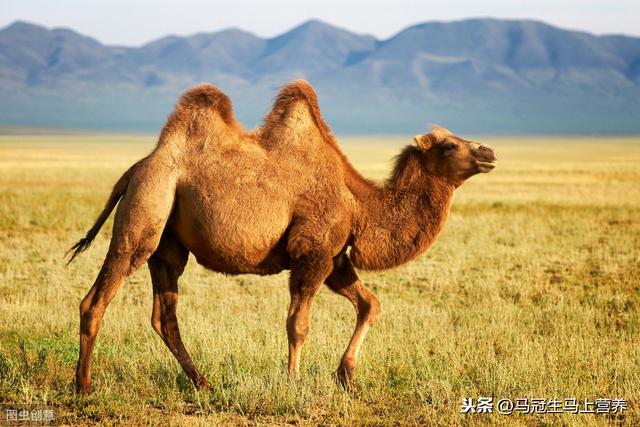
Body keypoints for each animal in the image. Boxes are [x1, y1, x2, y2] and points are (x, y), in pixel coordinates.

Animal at [71, 80, 500, 394]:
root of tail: (135, 170)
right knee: (97, 298)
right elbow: (298, 323)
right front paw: (293, 382)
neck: (358, 204)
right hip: (146, 210)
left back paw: (203, 383)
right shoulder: (311, 251)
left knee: (164, 316)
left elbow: (370, 305)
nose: (489, 152)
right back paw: (84, 387)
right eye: (449, 144)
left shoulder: (334, 257)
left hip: (168, 245)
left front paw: (345, 376)